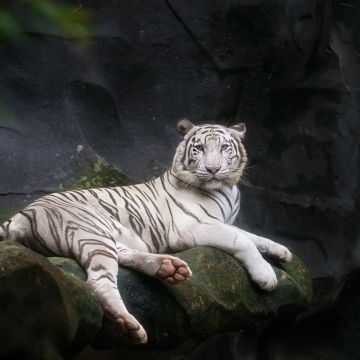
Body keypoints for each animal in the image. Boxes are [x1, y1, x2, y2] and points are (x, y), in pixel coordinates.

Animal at [0, 120, 292, 344]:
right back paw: (129, 324)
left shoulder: (224, 221)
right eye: (199, 148)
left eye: (224, 148)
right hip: (91, 229)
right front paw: (266, 276)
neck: (227, 188)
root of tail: (24, 212)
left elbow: (254, 237)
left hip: (106, 234)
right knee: (98, 281)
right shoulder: (194, 226)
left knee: (124, 256)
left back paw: (169, 269)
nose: (213, 169)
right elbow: (242, 239)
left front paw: (283, 252)